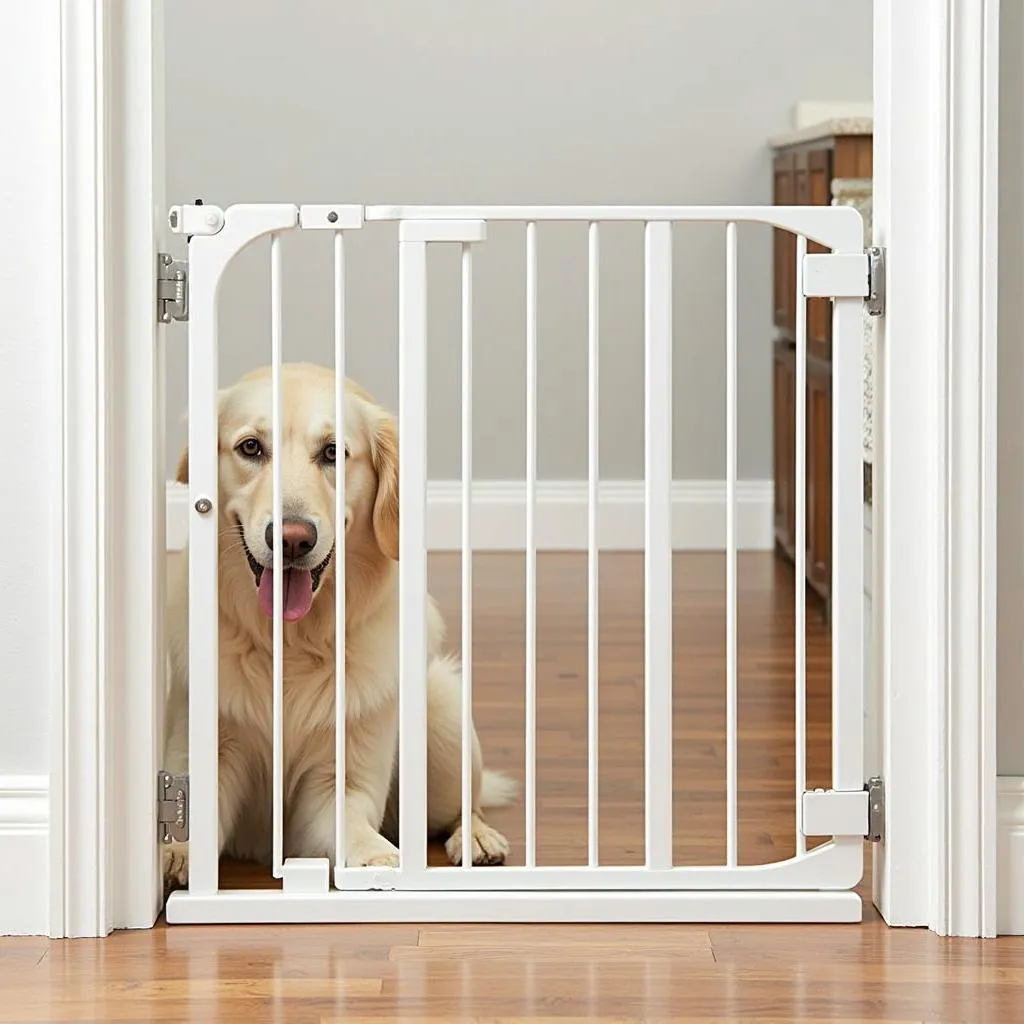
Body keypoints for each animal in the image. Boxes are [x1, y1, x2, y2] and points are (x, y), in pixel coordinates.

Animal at [164, 362, 516, 888]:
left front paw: (379, 860)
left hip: (445, 720)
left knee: (462, 805)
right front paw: (172, 855)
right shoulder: (211, 752)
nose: (292, 539)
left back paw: (476, 839)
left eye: (333, 452)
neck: (291, 644)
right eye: (251, 447)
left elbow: (350, 825)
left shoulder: (339, 777)